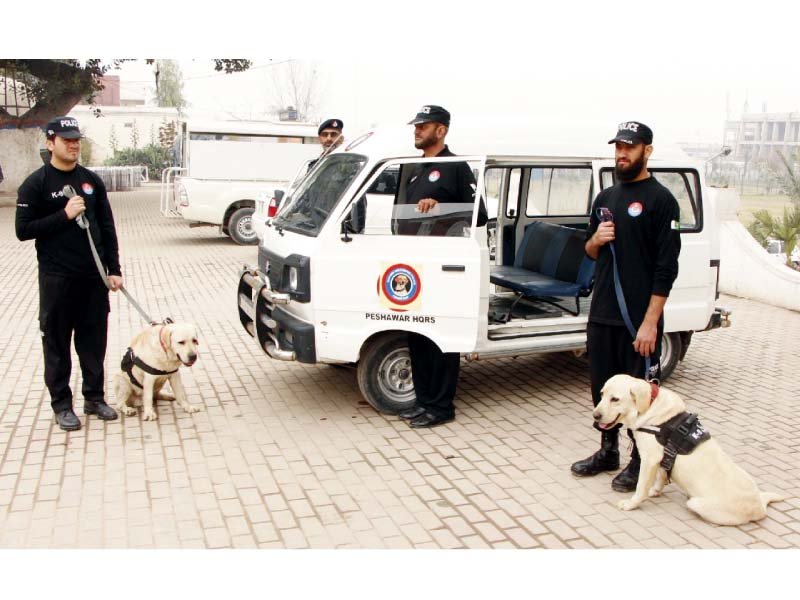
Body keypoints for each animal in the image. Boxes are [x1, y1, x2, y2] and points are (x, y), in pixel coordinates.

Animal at [592, 376, 780, 524]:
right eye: (602, 394)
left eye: (615, 399)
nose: (595, 416)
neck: (650, 406)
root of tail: (759, 506)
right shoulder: (663, 458)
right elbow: (662, 476)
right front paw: (655, 491)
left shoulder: (649, 459)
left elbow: (641, 486)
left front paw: (632, 503)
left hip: (697, 503)